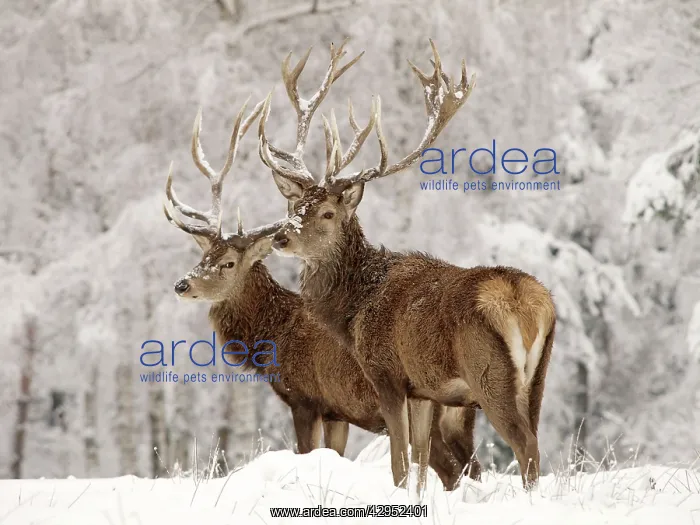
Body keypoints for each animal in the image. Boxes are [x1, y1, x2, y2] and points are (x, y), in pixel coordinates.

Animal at [162, 95, 479, 490]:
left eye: (228, 263)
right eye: (203, 256)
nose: (182, 284)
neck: (276, 338)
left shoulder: (306, 399)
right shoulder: (336, 412)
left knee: (450, 471)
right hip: (458, 420)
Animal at [258, 40, 556, 492]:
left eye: (327, 212)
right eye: (295, 206)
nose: (281, 237)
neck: (353, 311)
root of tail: (527, 303)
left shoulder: (386, 374)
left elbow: (400, 463)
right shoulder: (423, 391)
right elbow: (418, 461)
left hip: (490, 372)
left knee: (525, 444)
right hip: (537, 377)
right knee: (534, 439)